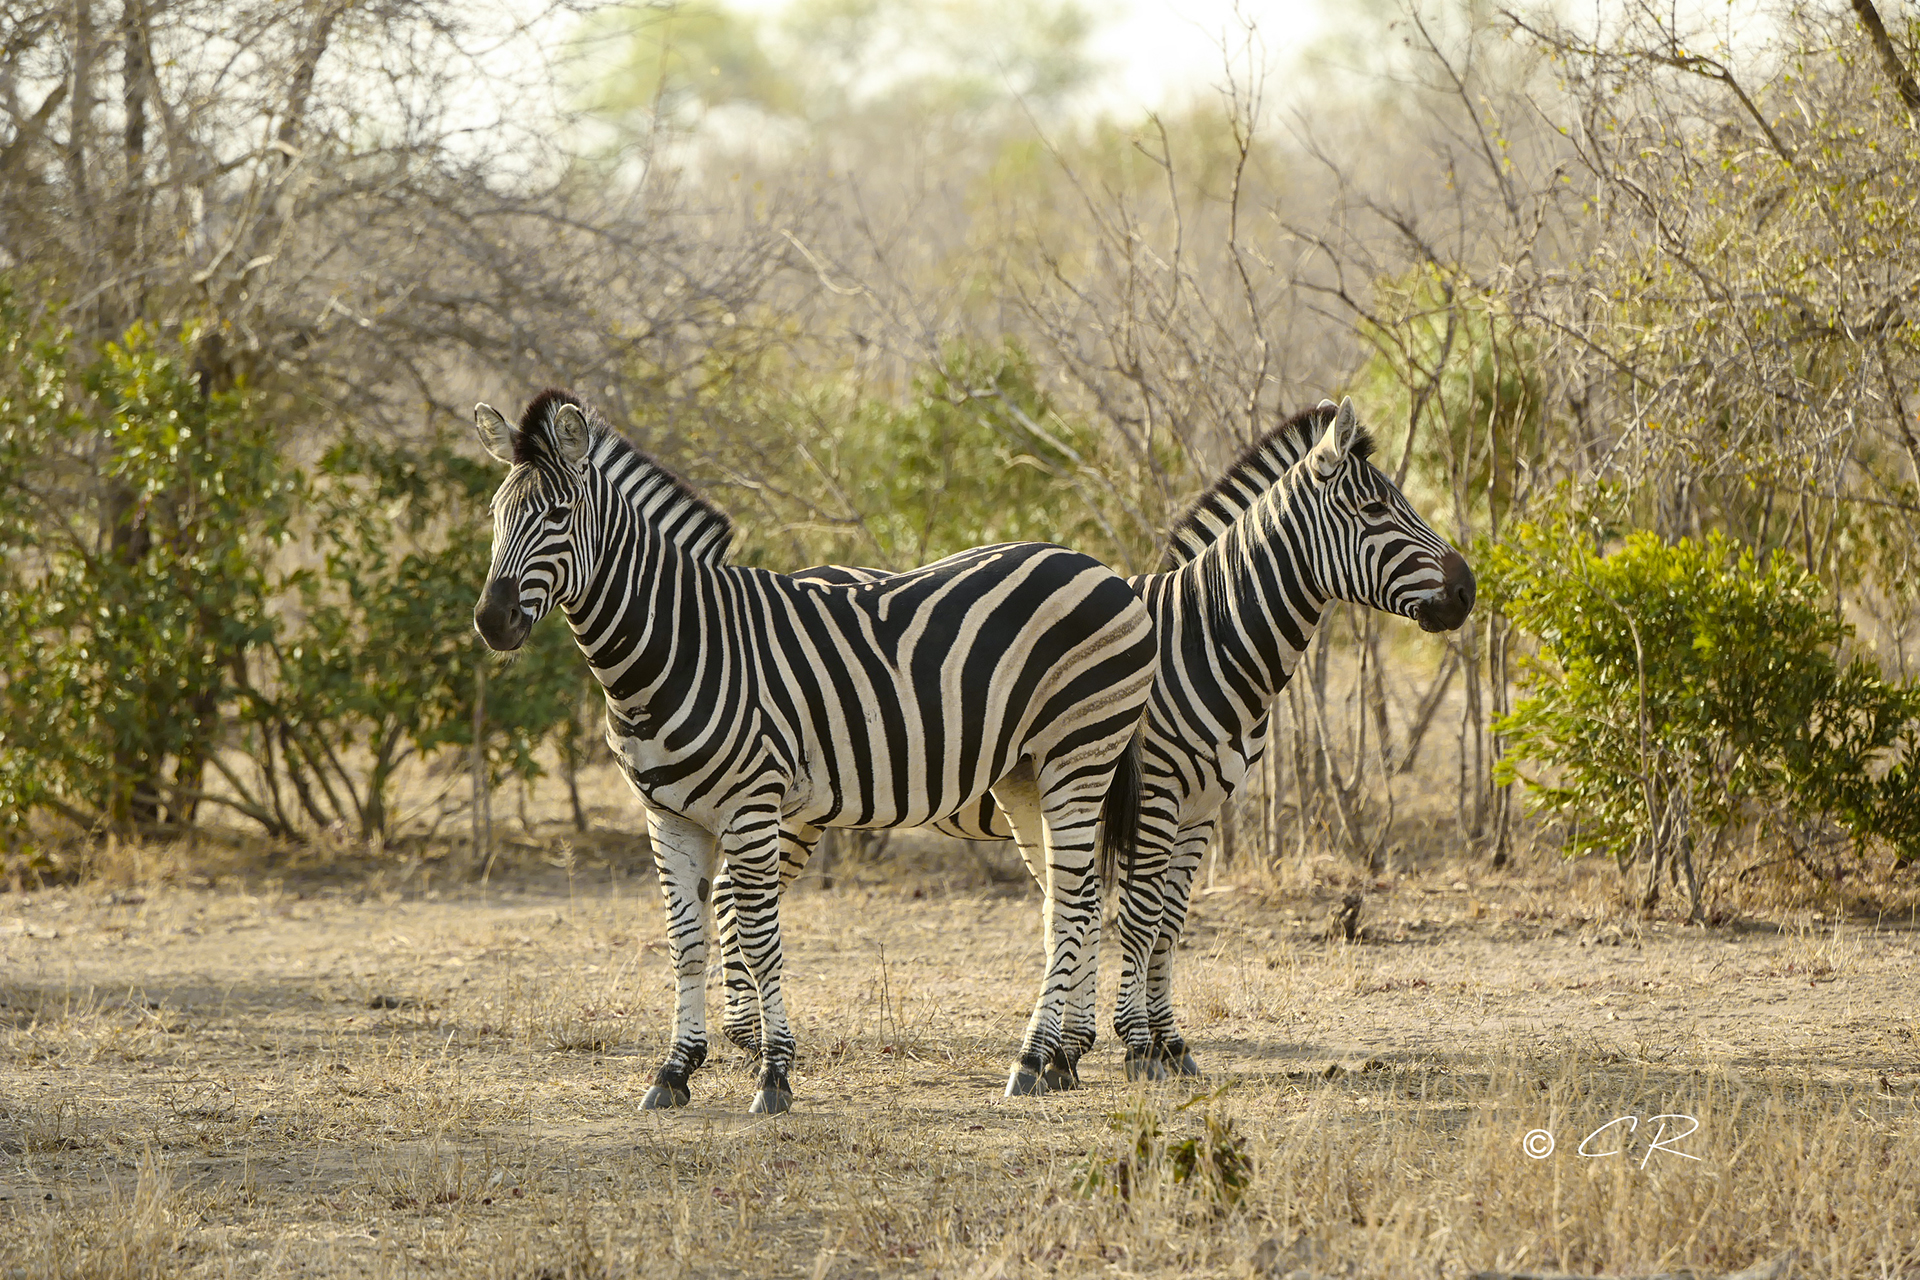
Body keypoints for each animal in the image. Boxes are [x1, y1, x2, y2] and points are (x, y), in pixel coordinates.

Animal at [468, 387, 1152, 1113]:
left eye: (558, 515)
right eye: (495, 516)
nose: (492, 621)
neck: (677, 646)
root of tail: (1102, 569)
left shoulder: (752, 804)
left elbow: (760, 939)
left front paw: (774, 1074)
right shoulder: (667, 814)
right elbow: (686, 941)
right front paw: (675, 1070)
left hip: (1079, 757)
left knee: (1077, 903)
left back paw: (1034, 1060)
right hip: (1024, 775)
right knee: (1065, 901)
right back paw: (1051, 1058)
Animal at [714, 395, 1474, 1090]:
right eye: (1374, 509)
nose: (1466, 591)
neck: (1206, 642)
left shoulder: (1202, 809)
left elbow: (1162, 922)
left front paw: (1150, 1044)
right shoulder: (1154, 794)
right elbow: (1133, 918)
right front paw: (1132, 1047)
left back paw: (747, 1042)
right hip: (788, 799)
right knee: (731, 887)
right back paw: (749, 1043)